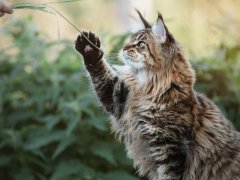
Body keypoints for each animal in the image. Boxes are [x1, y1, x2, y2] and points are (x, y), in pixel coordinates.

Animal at [75, 10, 240, 180]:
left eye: (140, 44)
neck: (148, 88)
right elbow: (100, 72)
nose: (123, 48)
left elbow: (169, 175)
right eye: (130, 40)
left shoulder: (170, 149)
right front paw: (89, 47)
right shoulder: (118, 98)